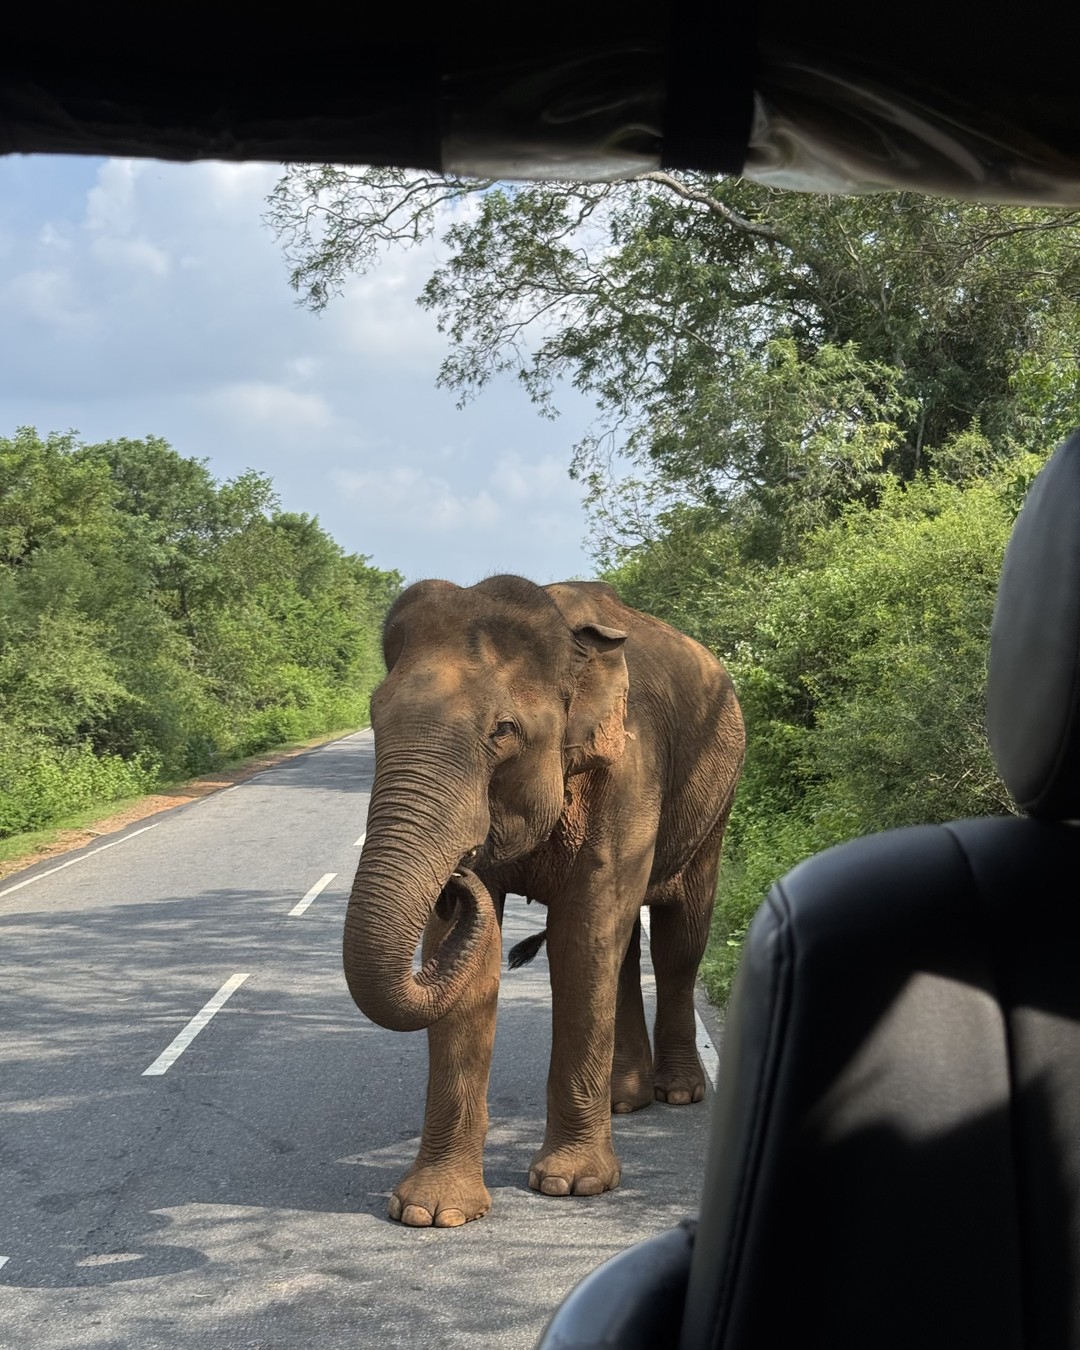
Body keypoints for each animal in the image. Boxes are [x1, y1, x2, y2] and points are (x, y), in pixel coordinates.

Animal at [343, 574, 745, 1227]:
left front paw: (570, 1185)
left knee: (679, 938)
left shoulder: (629, 768)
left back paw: (678, 1093)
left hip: (718, 794)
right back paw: (624, 1101)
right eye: (376, 723)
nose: (456, 878)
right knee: (624, 945)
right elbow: (472, 955)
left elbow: (581, 937)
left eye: (502, 731)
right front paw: (431, 1213)